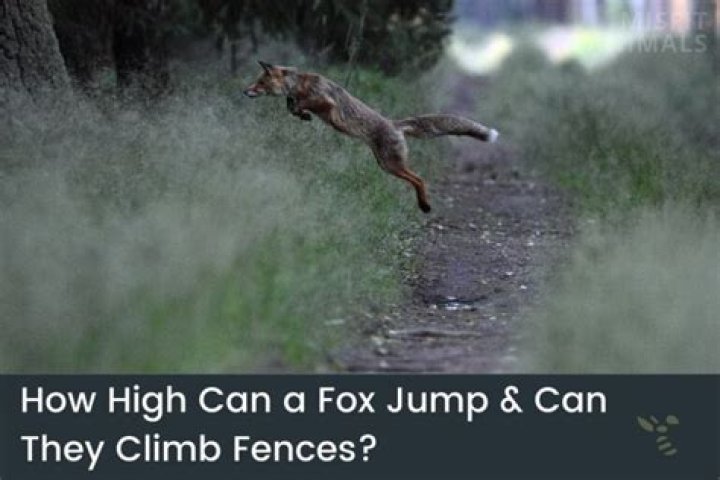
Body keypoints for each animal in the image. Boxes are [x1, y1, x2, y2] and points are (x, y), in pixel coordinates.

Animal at [243, 60, 499, 213]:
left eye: (260, 82)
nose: (244, 91)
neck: (300, 84)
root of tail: (395, 124)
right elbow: (291, 106)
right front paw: (301, 115)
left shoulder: (325, 102)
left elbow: (301, 103)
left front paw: (301, 111)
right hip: (385, 164)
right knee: (415, 178)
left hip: (391, 164)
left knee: (419, 179)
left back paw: (425, 205)